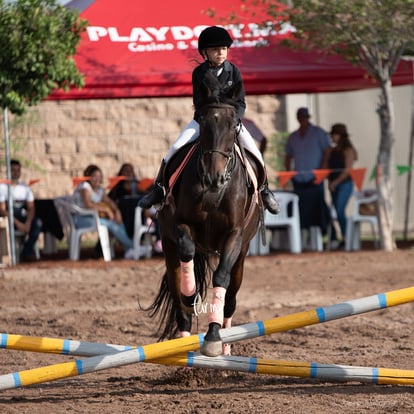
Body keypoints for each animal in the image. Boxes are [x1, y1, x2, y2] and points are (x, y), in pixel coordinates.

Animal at [146, 73, 262, 358]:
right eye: (203, 123)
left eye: (234, 126)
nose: (214, 177)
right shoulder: (179, 226)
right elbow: (187, 252)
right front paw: (191, 294)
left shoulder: (234, 236)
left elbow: (220, 278)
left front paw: (213, 338)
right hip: (169, 251)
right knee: (180, 304)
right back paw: (183, 346)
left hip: (241, 258)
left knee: (231, 299)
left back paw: (226, 346)